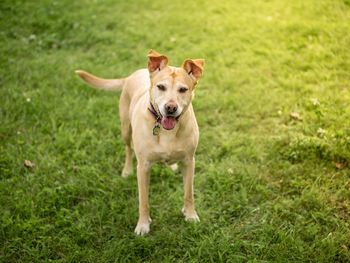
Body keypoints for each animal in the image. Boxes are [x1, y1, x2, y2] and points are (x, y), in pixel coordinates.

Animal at [75, 50, 204, 236]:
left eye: (183, 89)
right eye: (161, 87)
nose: (170, 108)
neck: (166, 130)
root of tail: (134, 73)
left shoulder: (189, 161)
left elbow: (189, 193)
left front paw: (191, 215)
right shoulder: (143, 167)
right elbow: (143, 200)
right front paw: (143, 225)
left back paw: (172, 166)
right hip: (125, 129)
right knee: (128, 149)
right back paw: (127, 170)